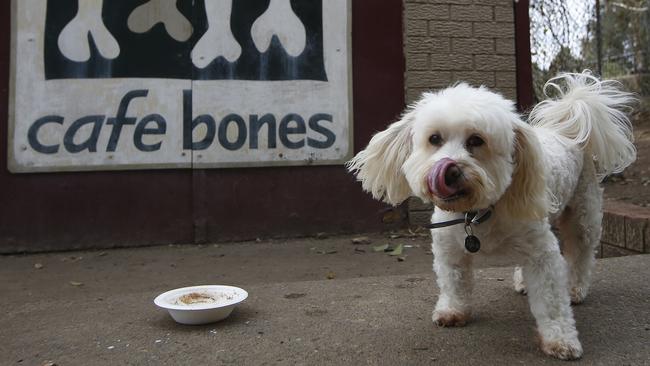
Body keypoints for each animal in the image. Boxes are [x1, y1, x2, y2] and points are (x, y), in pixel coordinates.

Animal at [346, 72, 636, 360]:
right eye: (434, 139)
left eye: (476, 140)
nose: (449, 170)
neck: (476, 213)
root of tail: (566, 130)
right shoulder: (449, 247)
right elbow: (454, 282)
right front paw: (453, 310)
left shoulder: (542, 255)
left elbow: (552, 300)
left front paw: (560, 338)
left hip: (583, 216)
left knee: (581, 254)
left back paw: (575, 288)